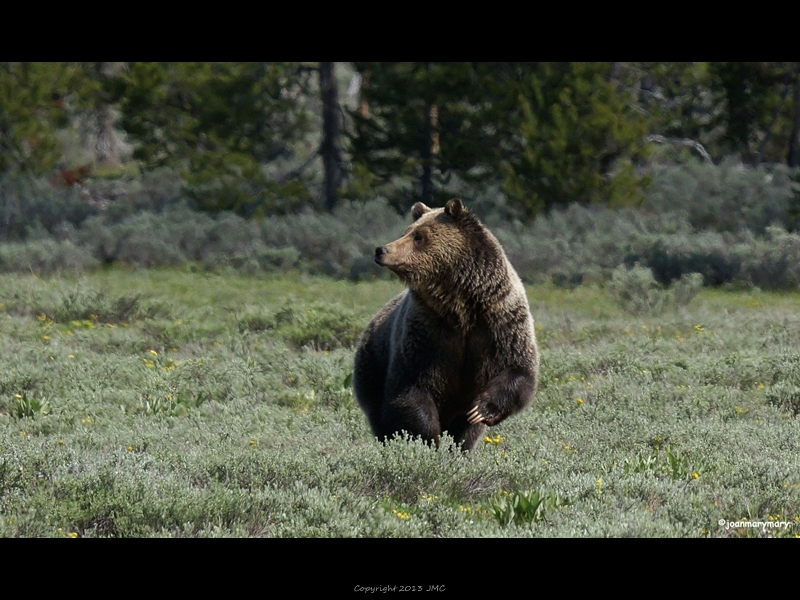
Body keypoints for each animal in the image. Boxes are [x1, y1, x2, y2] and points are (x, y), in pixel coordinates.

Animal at [354, 197, 536, 450]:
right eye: (407, 231)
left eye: (419, 236)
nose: (381, 250)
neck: (459, 307)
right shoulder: (426, 333)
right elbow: (411, 387)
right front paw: (430, 439)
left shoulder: (500, 322)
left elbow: (517, 368)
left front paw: (481, 409)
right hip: (372, 369)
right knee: (382, 418)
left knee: (467, 431)